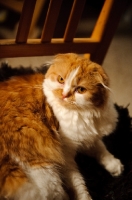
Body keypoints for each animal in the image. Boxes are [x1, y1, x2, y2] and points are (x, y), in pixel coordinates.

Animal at [0, 53, 124, 200]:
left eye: (80, 89)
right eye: (61, 80)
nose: (64, 95)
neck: (84, 113)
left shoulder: (87, 138)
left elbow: (101, 150)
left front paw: (115, 166)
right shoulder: (66, 154)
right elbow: (79, 185)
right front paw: (85, 197)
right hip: (44, 172)